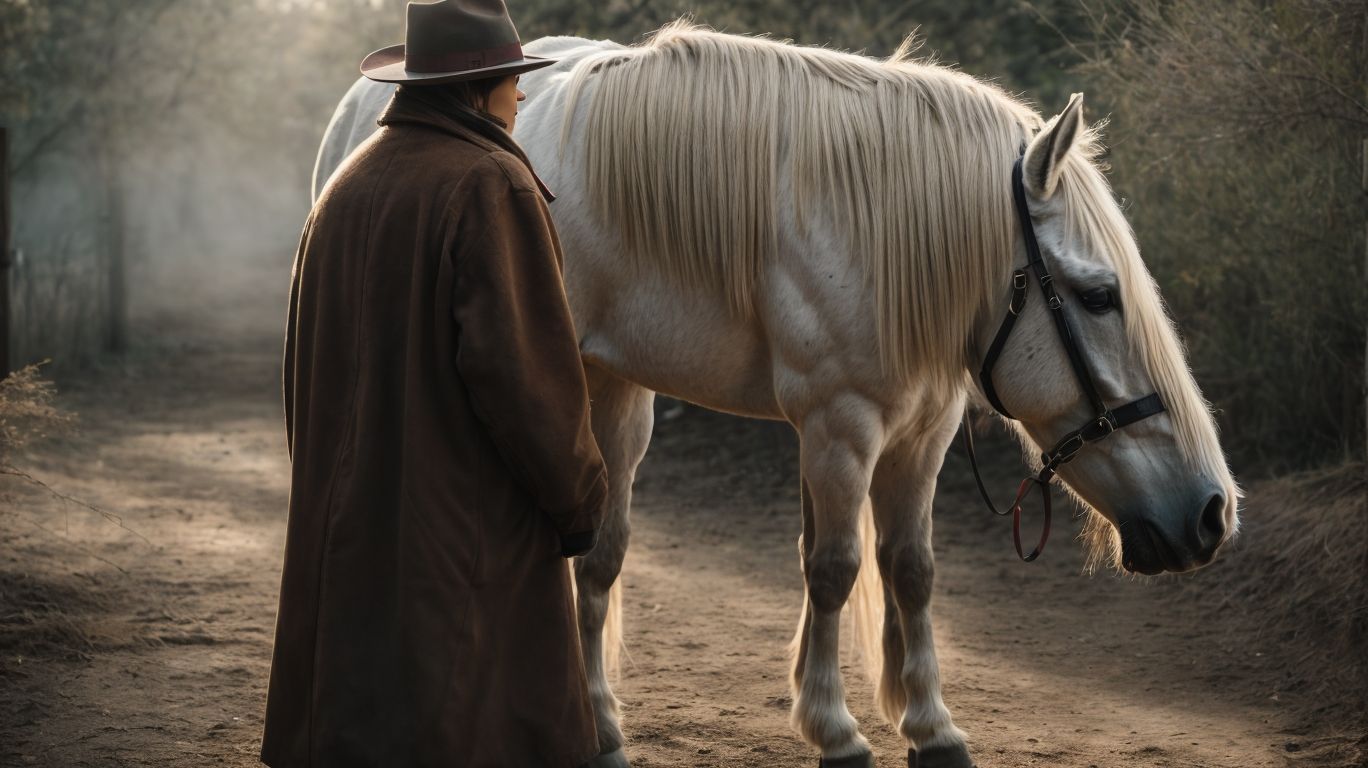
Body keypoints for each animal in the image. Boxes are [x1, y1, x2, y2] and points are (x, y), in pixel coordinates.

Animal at [312, 24, 1240, 768]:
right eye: (1098, 296)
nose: (1211, 515)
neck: (870, 227)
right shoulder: (838, 425)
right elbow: (833, 570)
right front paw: (837, 731)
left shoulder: (922, 433)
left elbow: (912, 570)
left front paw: (932, 728)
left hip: (613, 392)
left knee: (601, 557)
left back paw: (602, 730)